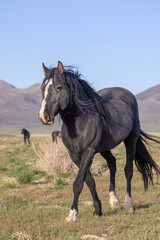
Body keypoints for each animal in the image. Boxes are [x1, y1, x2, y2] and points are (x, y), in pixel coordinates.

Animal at [38, 61, 160, 221]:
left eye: (58, 87)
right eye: (42, 88)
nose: (43, 116)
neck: (78, 122)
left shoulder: (88, 152)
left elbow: (78, 183)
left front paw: (72, 214)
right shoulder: (74, 155)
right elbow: (89, 181)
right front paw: (97, 209)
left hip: (130, 141)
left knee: (128, 171)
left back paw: (128, 204)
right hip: (104, 148)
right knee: (112, 163)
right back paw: (114, 200)